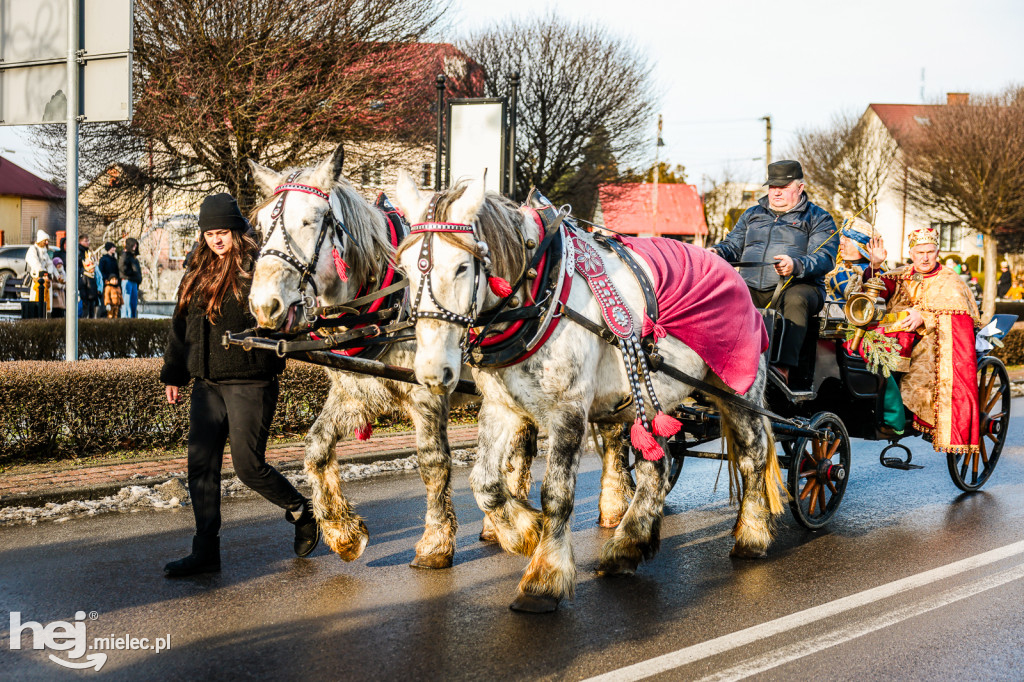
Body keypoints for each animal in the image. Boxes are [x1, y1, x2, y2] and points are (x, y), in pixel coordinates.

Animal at [393, 169, 782, 610]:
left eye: (461, 267)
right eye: (404, 270)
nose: (432, 371)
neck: (541, 295)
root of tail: (732, 271)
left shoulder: (568, 412)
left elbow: (557, 494)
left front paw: (543, 578)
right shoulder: (501, 407)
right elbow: (484, 483)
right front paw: (523, 532)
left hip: (741, 393)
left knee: (753, 457)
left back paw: (751, 536)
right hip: (652, 400)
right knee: (656, 466)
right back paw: (627, 546)